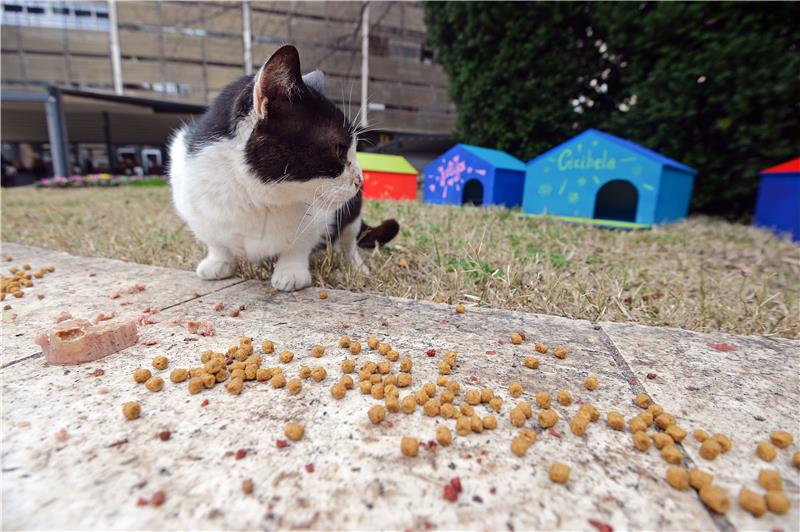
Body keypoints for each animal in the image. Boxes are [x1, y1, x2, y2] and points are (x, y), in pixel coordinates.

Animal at [168, 45, 396, 294]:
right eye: (338, 149)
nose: (360, 179)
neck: (254, 197)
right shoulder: (193, 203)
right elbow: (216, 241)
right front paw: (218, 262)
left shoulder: (318, 219)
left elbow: (299, 244)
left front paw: (290, 272)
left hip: (352, 214)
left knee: (349, 240)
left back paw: (356, 266)